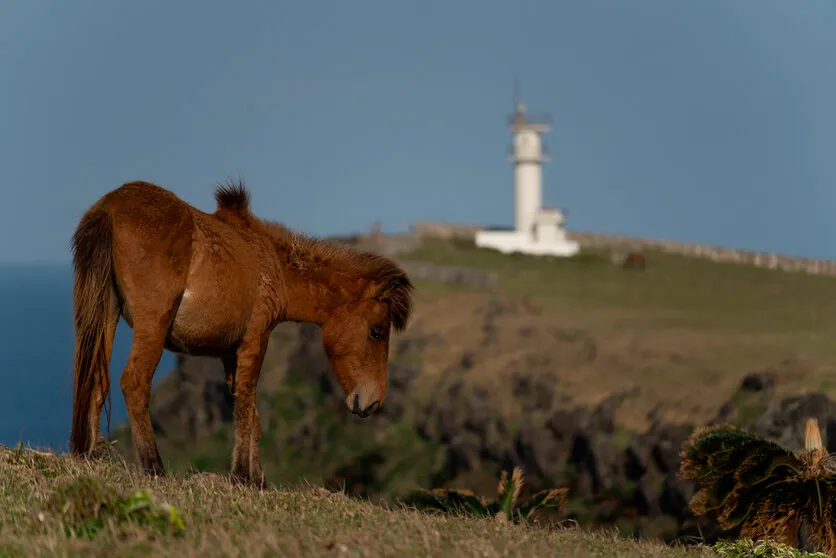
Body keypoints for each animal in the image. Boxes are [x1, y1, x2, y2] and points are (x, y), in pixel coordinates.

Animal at [72, 182, 414, 488]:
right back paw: (154, 466)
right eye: (376, 332)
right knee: (134, 383)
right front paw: (241, 475)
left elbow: (250, 410)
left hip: (107, 312)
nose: (372, 402)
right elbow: (246, 402)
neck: (270, 261)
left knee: (97, 377)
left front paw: (257, 477)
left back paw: (90, 454)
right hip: (152, 325)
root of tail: (109, 207)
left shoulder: (229, 352)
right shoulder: (256, 338)